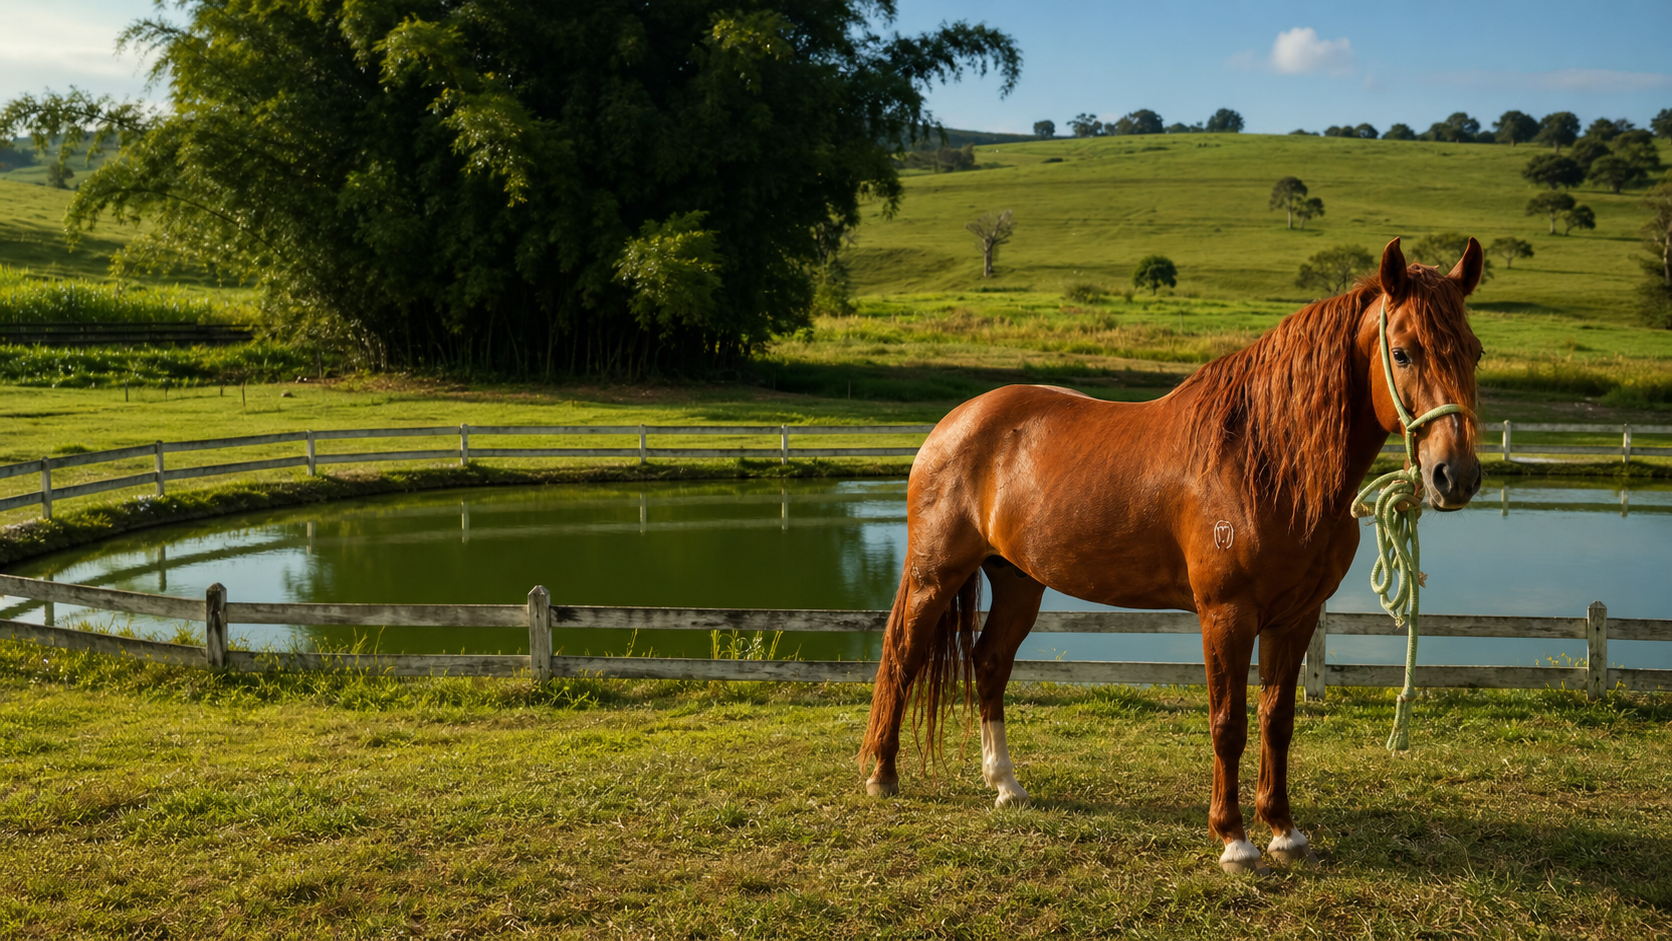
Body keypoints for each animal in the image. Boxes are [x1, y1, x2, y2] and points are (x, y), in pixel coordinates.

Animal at [858, 236, 1485, 869]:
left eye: (1475, 353)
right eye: (1402, 353)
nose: (1454, 475)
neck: (1265, 460)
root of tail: (953, 422)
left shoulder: (1296, 617)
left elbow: (1277, 720)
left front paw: (1283, 830)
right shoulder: (1226, 615)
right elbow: (1228, 722)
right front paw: (1233, 838)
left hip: (1018, 581)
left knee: (988, 663)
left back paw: (1006, 786)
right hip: (936, 575)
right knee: (904, 656)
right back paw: (883, 775)